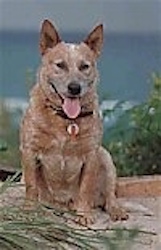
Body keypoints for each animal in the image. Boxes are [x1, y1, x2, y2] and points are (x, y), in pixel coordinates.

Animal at [20, 20, 128, 225]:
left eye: (84, 66)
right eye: (60, 65)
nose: (74, 87)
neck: (66, 120)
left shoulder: (91, 155)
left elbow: (86, 187)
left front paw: (84, 214)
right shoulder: (30, 151)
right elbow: (31, 186)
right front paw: (29, 210)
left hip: (106, 157)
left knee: (110, 196)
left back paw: (116, 210)